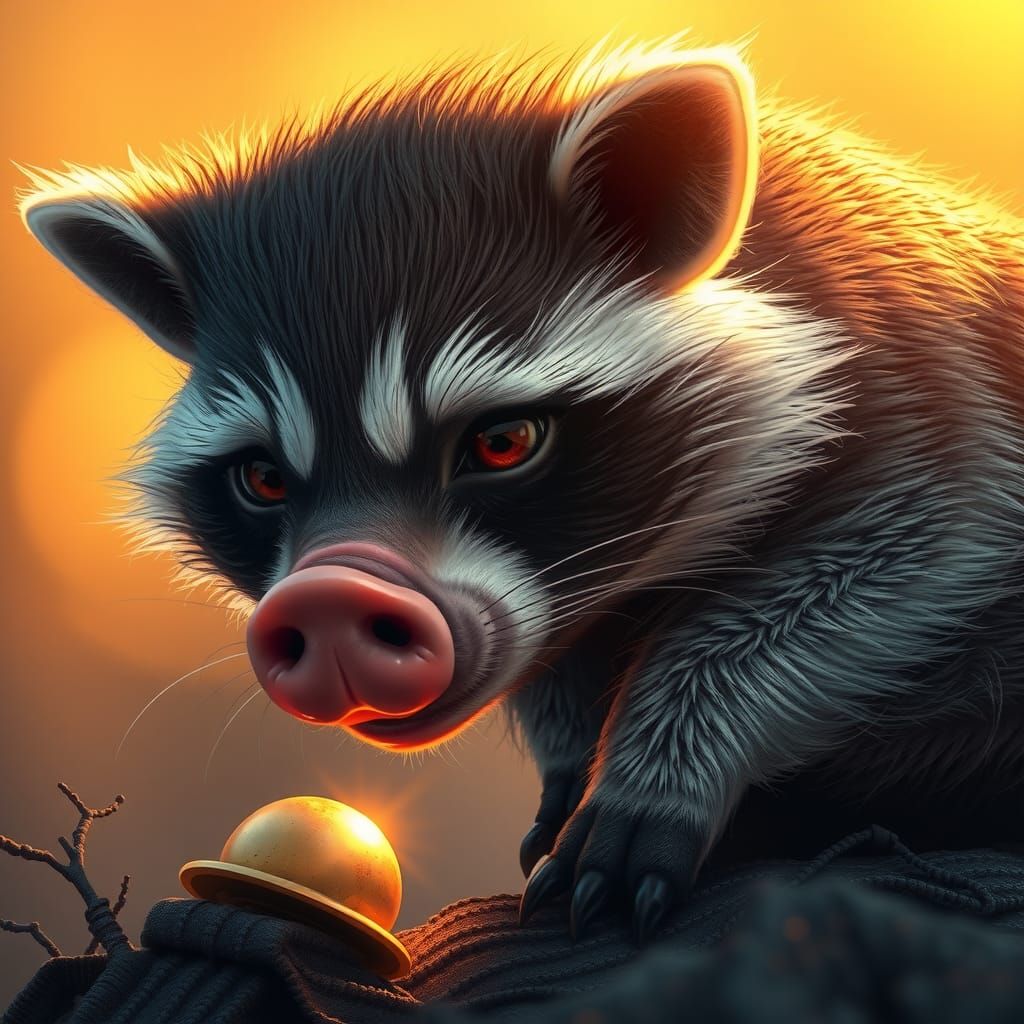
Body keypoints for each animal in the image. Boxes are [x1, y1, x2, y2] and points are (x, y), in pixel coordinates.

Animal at [19, 39, 1024, 944]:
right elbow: (553, 665)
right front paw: (576, 757)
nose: (330, 597)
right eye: (263, 478)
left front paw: (653, 775)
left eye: (501, 443)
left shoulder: (932, 396)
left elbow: (891, 569)